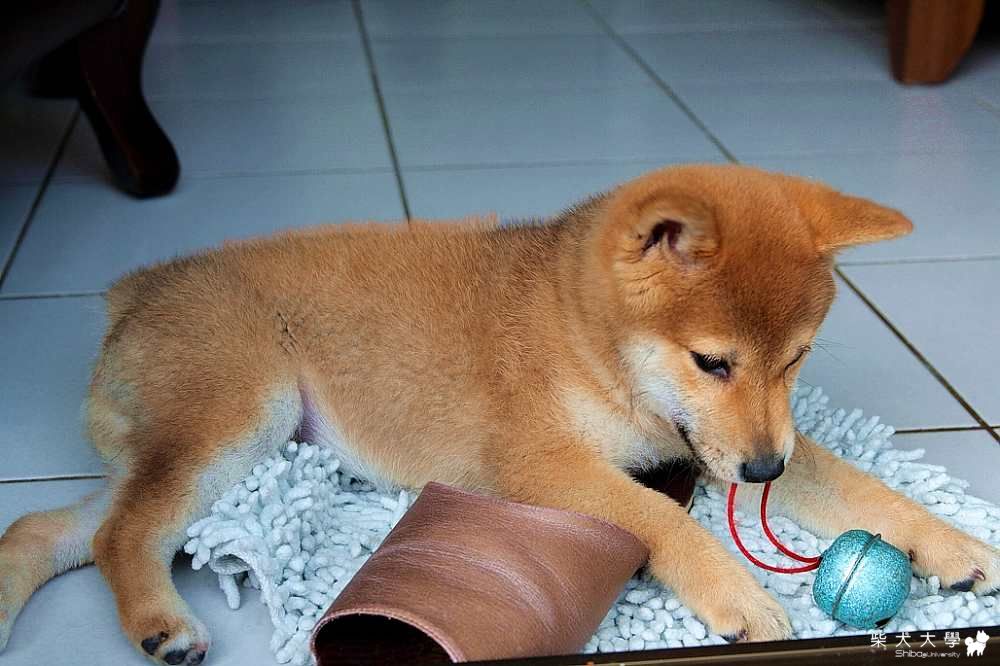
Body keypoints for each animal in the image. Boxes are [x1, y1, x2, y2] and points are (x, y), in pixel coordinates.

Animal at [1, 165, 998, 664]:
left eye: (796, 361)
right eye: (712, 361)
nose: (761, 474)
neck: (583, 339)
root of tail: (133, 291)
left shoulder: (721, 443)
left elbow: (857, 487)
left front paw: (952, 544)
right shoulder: (539, 465)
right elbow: (656, 520)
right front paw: (736, 594)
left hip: (201, 447)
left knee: (59, 531)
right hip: (240, 418)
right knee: (124, 532)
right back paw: (163, 626)